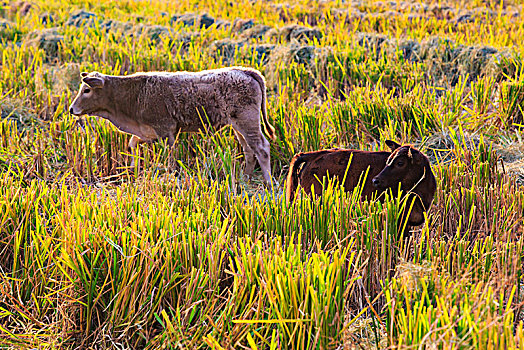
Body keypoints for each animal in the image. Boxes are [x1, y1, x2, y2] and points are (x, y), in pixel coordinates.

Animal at [68, 66, 278, 185]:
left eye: (86, 90)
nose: (71, 109)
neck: (136, 95)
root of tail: (245, 71)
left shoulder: (166, 131)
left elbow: (169, 158)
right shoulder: (146, 131)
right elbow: (132, 144)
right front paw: (133, 168)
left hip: (247, 122)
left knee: (261, 148)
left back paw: (268, 183)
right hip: (238, 126)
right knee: (249, 150)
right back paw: (246, 179)